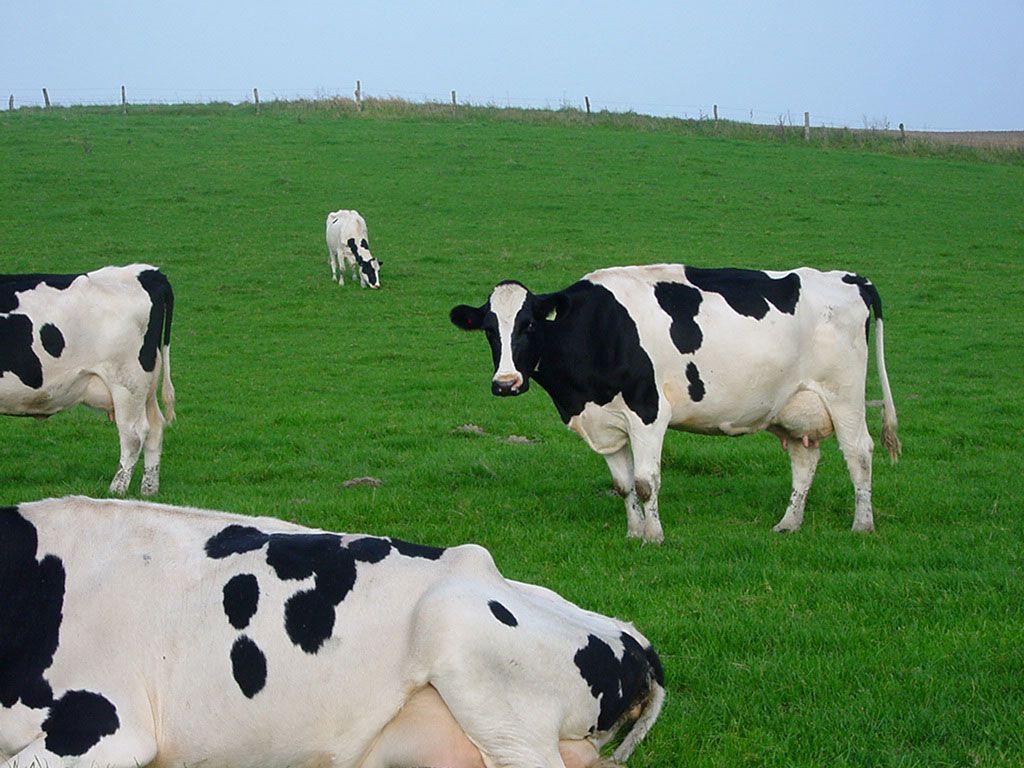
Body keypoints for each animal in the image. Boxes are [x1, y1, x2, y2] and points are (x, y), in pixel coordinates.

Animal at [0, 265, 175, 496]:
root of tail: (146, 272)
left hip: (126, 381)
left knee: (134, 434)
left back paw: (116, 489)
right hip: (145, 386)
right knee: (155, 428)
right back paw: (148, 489)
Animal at [450, 265, 901, 543]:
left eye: (528, 325)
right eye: (489, 330)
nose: (506, 383)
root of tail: (851, 278)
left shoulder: (648, 411)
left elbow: (646, 481)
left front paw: (654, 537)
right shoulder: (606, 421)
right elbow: (623, 483)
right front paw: (633, 532)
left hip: (843, 395)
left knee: (859, 452)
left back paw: (862, 524)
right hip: (791, 407)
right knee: (805, 461)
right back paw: (788, 524)